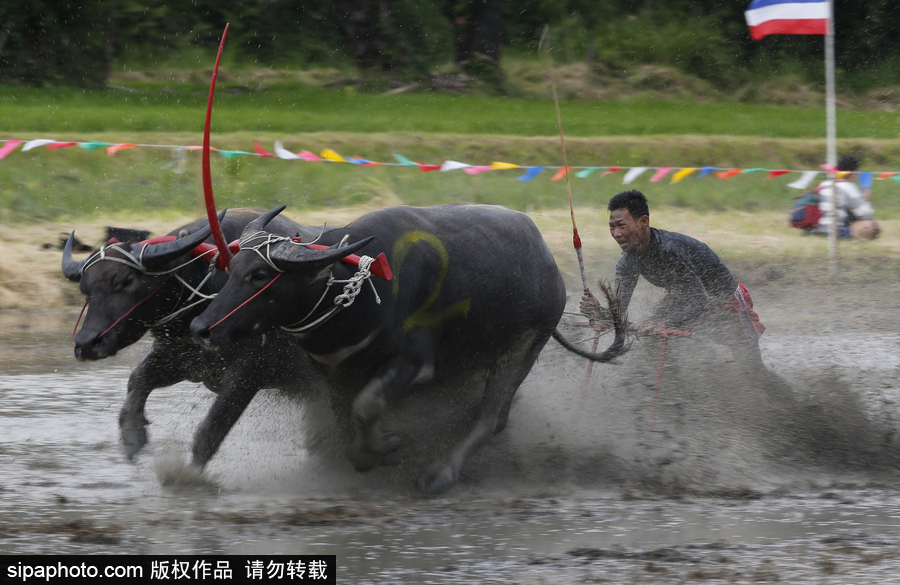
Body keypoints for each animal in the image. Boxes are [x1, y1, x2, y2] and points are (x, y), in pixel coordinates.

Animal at [61, 210, 326, 470]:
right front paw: (132, 435)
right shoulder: (179, 358)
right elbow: (137, 380)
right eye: (85, 289)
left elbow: (214, 424)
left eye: (126, 281)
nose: (86, 343)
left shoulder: (250, 370)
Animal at [190, 204, 624, 492]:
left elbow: (367, 407)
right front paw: (370, 454)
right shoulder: (334, 374)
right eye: (231, 268)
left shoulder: (414, 364)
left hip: (524, 345)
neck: (363, 291)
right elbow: (347, 424)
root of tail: (550, 266)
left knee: (489, 417)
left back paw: (440, 475)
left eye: (261, 274)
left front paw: (388, 445)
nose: (201, 328)